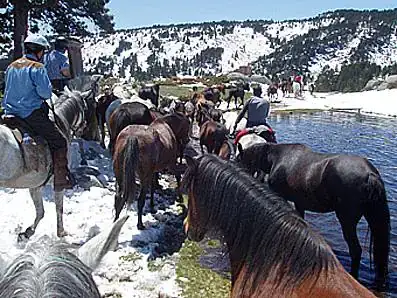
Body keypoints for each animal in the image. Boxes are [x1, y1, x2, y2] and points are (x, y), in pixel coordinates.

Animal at [0, 87, 95, 241]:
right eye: (85, 108)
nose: (83, 128)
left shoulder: (35, 185)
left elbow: (40, 211)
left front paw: (27, 232)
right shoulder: (58, 181)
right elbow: (59, 208)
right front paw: (61, 232)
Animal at [235, 143, 390, 288]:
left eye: (238, 161)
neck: (275, 157)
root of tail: (370, 174)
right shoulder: (299, 204)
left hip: (347, 221)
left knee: (355, 250)